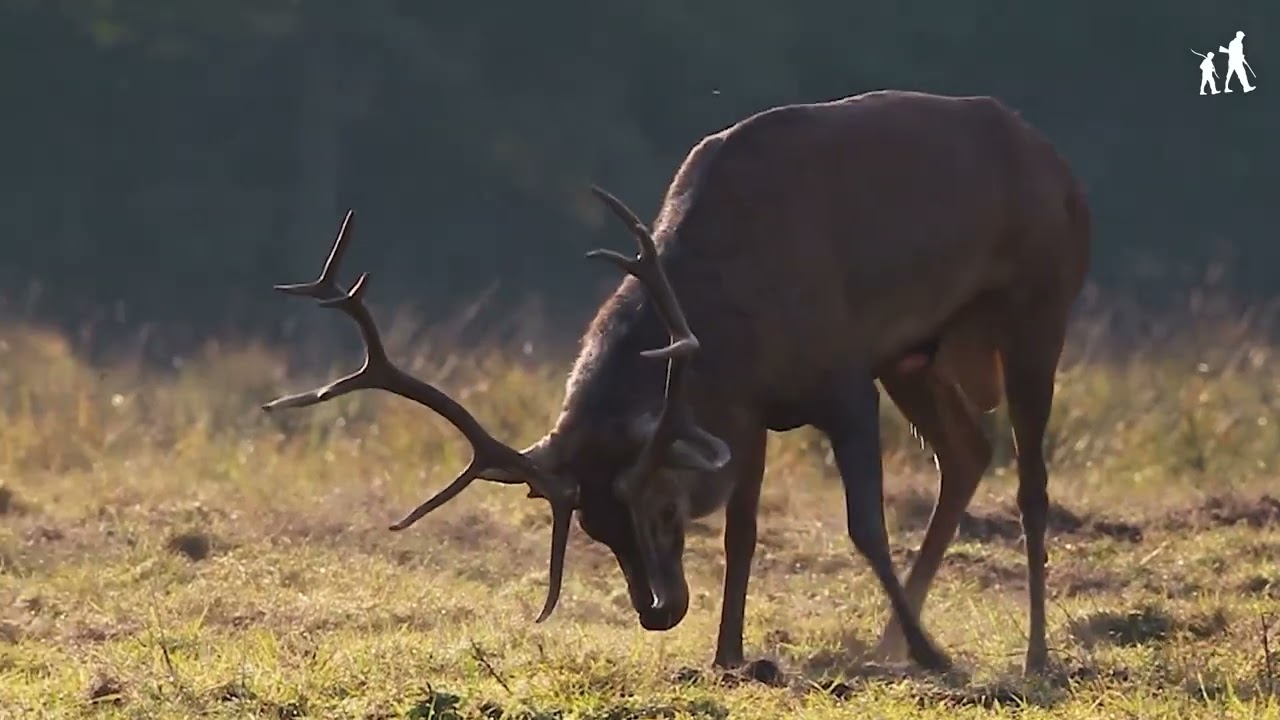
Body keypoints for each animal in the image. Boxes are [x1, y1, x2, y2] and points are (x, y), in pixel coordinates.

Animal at [261, 89, 1091, 678]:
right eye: (594, 527)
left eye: (663, 506)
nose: (657, 612)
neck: (732, 322)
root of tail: (1058, 162)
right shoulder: (751, 409)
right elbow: (743, 532)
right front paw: (730, 654)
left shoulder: (843, 376)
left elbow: (864, 525)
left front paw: (935, 654)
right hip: (916, 353)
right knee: (968, 452)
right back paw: (888, 640)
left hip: (1039, 308)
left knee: (1030, 483)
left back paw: (1031, 653)